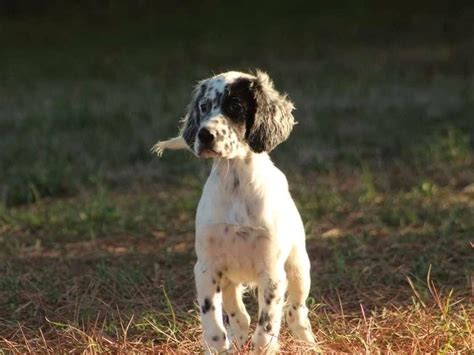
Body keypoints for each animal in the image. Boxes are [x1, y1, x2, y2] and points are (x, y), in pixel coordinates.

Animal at [153, 71, 314, 354]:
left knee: (296, 310)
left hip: (298, 267)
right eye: (204, 106)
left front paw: (265, 346)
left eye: (236, 107)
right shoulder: (206, 268)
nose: (205, 135)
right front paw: (219, 346)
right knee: (240, 316)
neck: (235, 181)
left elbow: (266, 327)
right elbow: (214, 325)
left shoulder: (272, 272)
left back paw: (309, 342)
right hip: (229, 280)